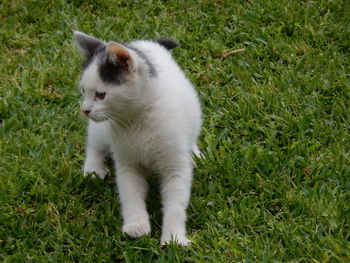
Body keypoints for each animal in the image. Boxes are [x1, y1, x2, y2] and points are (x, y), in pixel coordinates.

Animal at [74, 31, 202, 248]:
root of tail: (145, 42)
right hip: (102, 128)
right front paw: (136, 226)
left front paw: (174, 237)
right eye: (84, 91)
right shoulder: (127, 162)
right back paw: (93, 168)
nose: (85, 110)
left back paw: (194, 151)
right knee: (95, 142)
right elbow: (130, 193)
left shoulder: (175, 165)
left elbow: (176, 202)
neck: (136, 119)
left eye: (101, 94)